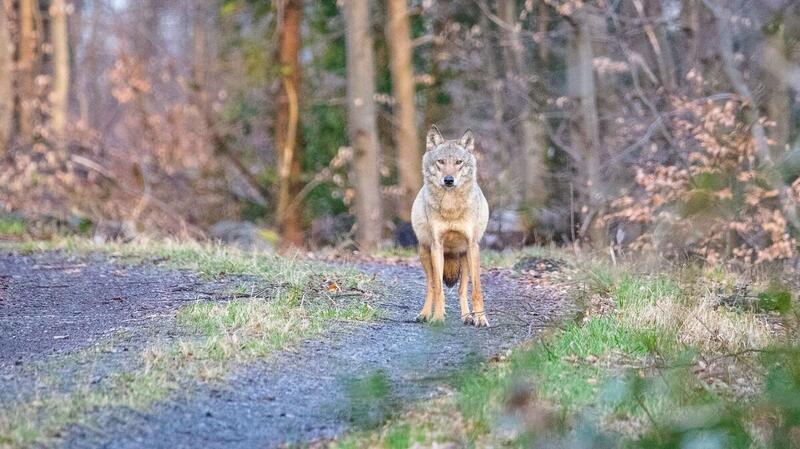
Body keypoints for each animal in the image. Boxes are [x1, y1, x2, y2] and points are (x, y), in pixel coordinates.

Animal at [411, 125, 490, 327]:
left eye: (458, 162)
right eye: (441, 161)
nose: (448, 180)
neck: (451, 206)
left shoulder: (473, 246)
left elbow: (476, 290)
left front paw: (480, 318)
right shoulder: (437, 246)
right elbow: (439, 289)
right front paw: (438, 317)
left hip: (465, 259)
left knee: (462, 290)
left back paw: (467, 317)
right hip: (425, 254)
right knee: (431, 286)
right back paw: (425, 314)